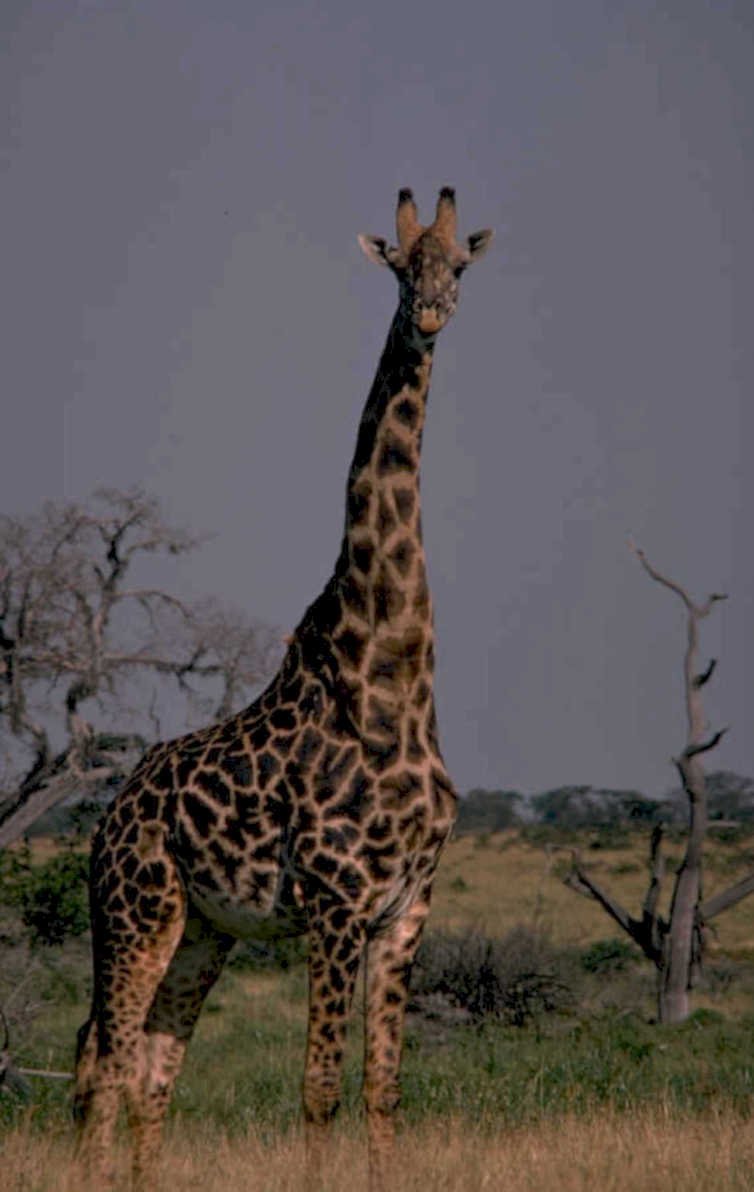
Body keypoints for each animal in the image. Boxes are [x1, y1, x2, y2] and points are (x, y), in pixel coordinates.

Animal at [73, 187, 493, 1189]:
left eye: (458, 265)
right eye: (399, 266)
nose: (430, 317)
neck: (393, 677)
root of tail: (110, 814)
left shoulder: (407, 908)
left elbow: (383, 1091)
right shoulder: (336, 904)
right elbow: (319, 1091)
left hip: (203, 931)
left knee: (152, 1067)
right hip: (134, 912)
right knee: (104, 1059)